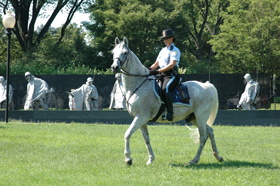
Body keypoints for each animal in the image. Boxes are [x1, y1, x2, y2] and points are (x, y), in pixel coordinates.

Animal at [110, 37, 222, 165]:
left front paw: (128, 158)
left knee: (203, 137)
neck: (138, 84)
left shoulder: (141, 117)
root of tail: (207, 85)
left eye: (124, 52)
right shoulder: (140, 119)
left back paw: (195, 160)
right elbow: (146, 139)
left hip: (201, 117)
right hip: (194, 118)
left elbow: (127, 134)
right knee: (210, 131)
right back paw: (218, 156)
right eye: (113, 52)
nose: (114, 67)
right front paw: (150, 159)